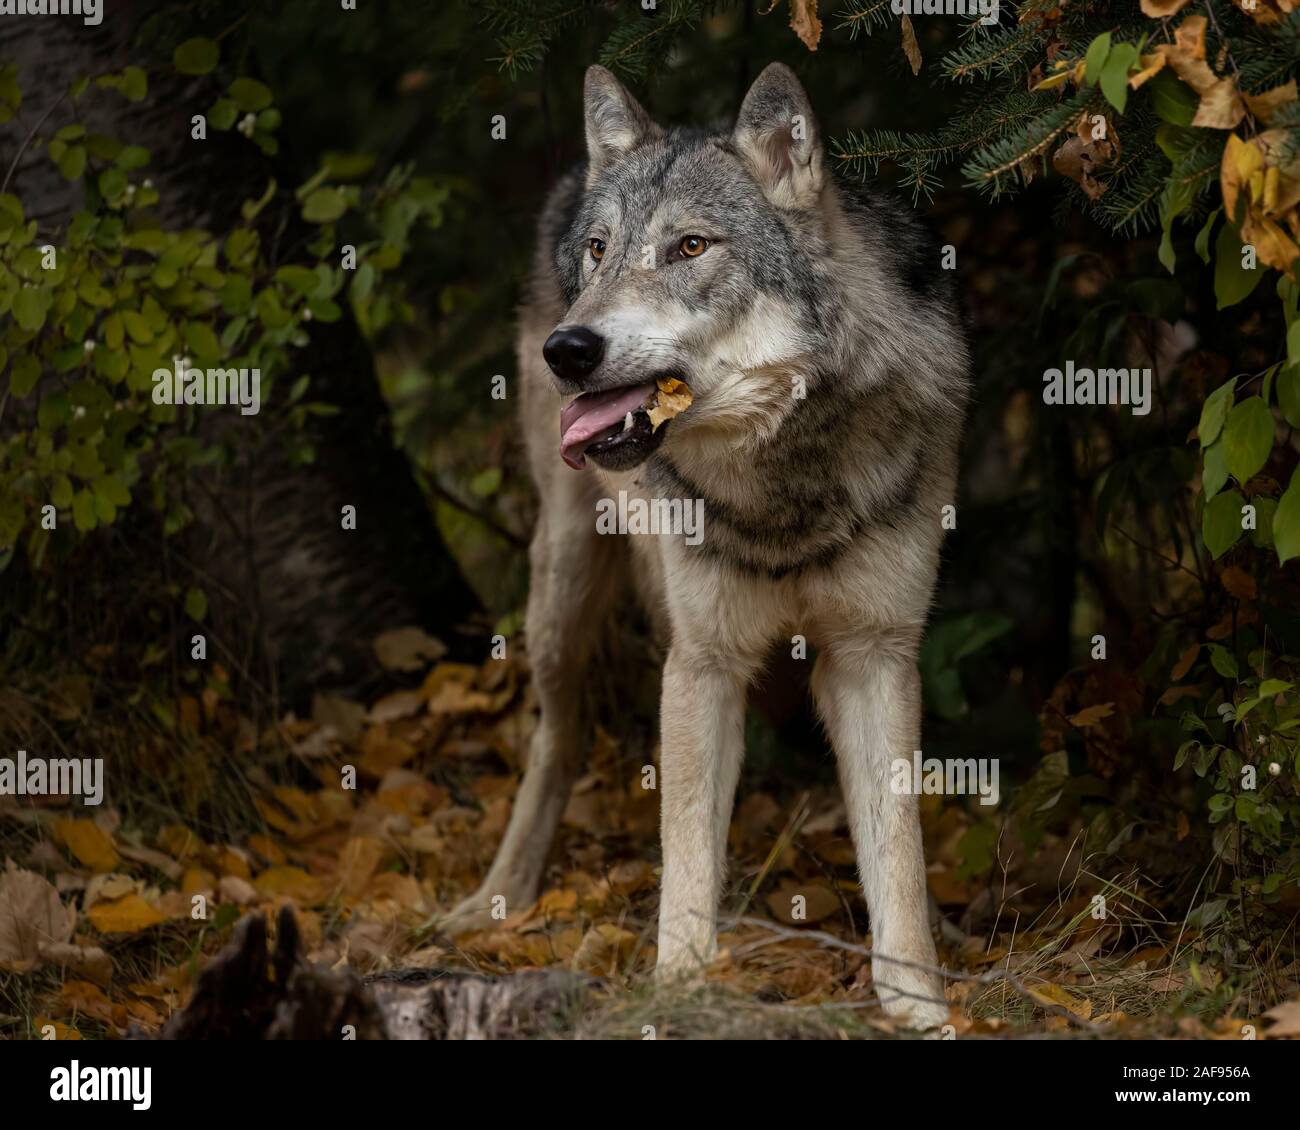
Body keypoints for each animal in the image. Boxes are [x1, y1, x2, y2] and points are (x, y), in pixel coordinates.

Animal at [452, 59, 972, 1029]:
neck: (783, 481)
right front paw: (679, 989)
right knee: (557, 742)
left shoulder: (874, 654)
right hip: (562, 594)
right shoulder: (704, 662)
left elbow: (900, 856)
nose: (567, 349)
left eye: (691, 247)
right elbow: (688, 849)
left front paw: (918, 1004)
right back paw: (498, 897)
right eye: (600, 252)